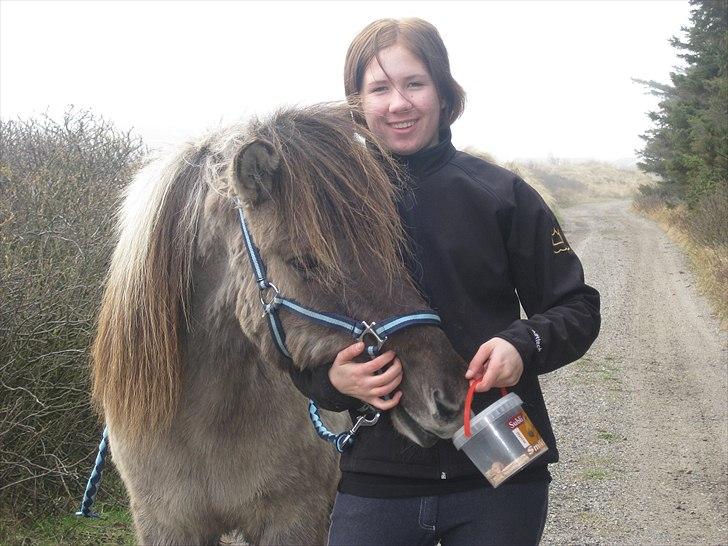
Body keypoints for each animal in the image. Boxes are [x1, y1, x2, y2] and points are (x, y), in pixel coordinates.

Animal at [91, 104, 466, 540]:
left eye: (390, 248)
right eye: (303, 262)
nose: (451, 393)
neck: (204, 421)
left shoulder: (293, 521)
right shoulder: (166, 525)